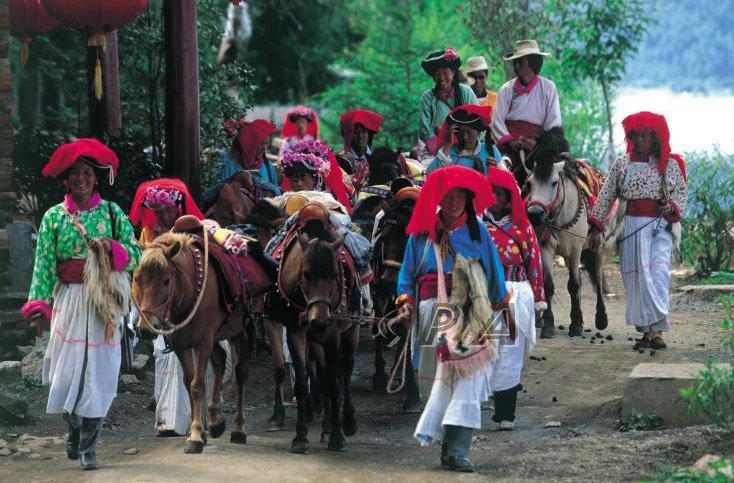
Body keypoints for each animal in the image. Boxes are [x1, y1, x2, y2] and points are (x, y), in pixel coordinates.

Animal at [134, 231, 253, 454]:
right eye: (136, 279)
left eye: (166, 281)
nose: (146, 329)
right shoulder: (181, 345)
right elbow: (189, 383)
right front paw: (195, 432)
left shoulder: (203, 342)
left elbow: (198, 385)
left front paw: (196, 437)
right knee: (220, 360)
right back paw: (215, 421)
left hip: (243, 331)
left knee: (241, 374)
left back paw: (239, 429)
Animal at [272, 216, 360, 454]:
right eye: (306, 273)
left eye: (335, 275)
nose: (319, 320)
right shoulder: (296, 333)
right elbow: (303, 384)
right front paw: (300, 437)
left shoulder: (332, 335)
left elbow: (334, 383)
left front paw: (337, 437)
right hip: (315, 341)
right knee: (321, 372)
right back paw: (327, 426)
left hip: (351, 330)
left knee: (345, 370)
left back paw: (347, 422)